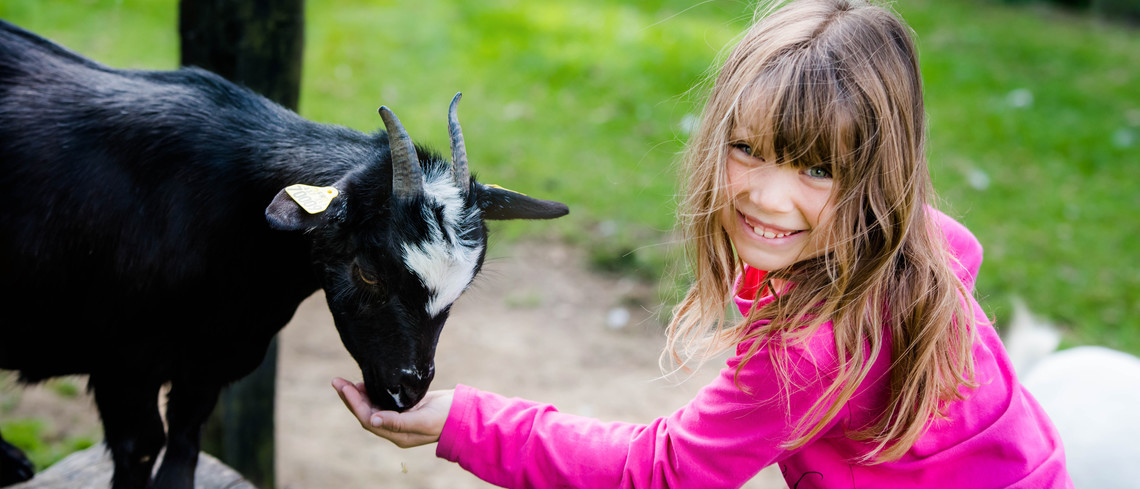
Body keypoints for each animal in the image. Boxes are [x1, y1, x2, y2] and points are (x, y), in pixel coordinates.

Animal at [0, 18, 567, 487]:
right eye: (367, 271)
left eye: (463, 287)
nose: (407, 392)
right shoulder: (122, 361)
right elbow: (143, 448)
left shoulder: (209, 360)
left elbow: (184, 443)